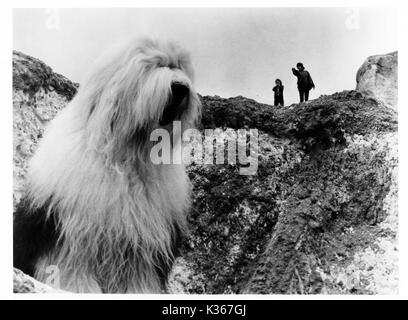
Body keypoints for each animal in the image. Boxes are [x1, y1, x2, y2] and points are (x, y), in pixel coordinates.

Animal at [13, 37, 202, 292]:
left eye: (179, 68)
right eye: (153, 66)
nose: (181, 87)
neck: (127, 157)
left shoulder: (143, 246)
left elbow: (139, 280)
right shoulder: (72, 233)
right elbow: (71, 270)